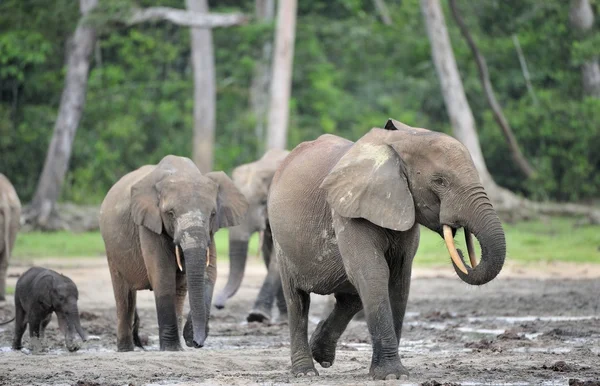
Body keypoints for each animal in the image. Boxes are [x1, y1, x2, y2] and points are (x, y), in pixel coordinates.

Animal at [99, 155, 247, 352]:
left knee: (179, 291)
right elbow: (162, 275)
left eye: (213, 214)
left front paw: (187, 338)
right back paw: (126, 349)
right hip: (112, 250)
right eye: (170, 213)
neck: (182, 173)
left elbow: (209, 273)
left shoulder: (210, 232)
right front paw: (171, 348)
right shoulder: (148, 223)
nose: (197, 343)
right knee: (124, 296)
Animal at [213, 149, 290, 324]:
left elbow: (277, 259)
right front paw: (277, 318)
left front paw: (257, 316)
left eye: (263, 202)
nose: (218, 305)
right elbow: (269, 257)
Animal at [268, 119, 506, 378]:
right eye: (440, 181)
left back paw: (322, 355)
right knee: (298, 300)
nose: (460, 252)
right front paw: (392, 375)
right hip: (281, 240)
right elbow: (373, 273)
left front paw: (392, 373)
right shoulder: (349, 210)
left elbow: (398, 280)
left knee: (351, 297)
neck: (402, 141)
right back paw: (306, 372)